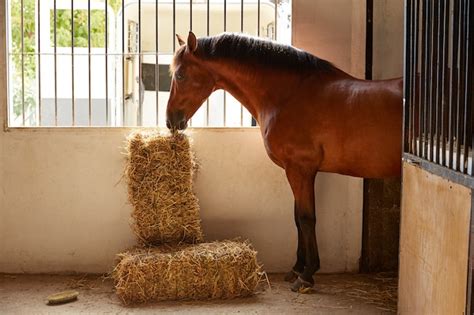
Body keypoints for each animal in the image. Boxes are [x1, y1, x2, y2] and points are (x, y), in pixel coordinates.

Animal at [165, 31, 402, 292]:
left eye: (180, 74)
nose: (170, 120)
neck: (289, 95)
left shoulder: (300, 170)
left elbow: (306, 219)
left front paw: (307, 275)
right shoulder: (296, 171)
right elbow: (297, 218)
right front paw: (297, 268)